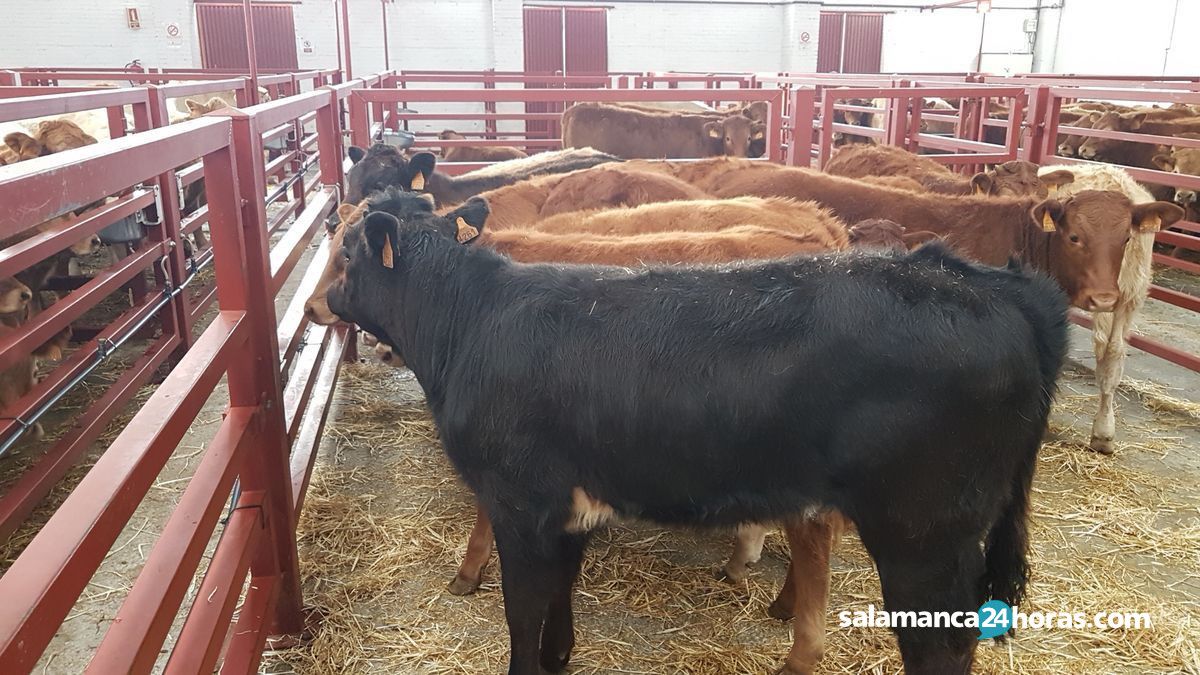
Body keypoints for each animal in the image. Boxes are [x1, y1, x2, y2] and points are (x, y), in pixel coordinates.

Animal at [328, 189, 1070, 672]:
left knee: (941, 642)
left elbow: (524, 610)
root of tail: (988, 284)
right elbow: (559, 601)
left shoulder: (520, 502)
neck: (472, 318)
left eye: (345, 252)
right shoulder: (570, 507)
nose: (325, 298)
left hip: (923, 536)